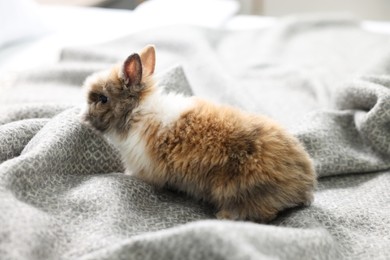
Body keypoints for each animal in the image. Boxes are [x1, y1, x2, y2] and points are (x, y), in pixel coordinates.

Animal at [80, 45, 316, 223]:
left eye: (102, 99)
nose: (83, 117)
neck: (136, 113)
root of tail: (302, 184)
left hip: (238, 192)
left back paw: (222, 216)